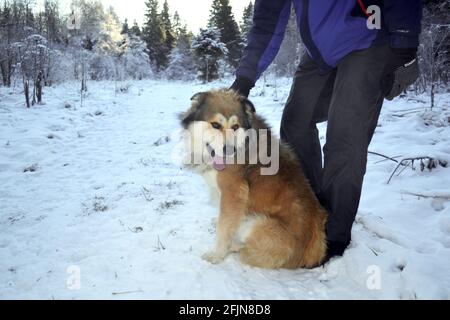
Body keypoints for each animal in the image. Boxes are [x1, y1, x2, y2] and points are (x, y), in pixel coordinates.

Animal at [179, 89, 326, 268]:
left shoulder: (233, 192)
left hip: (257, 223)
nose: (229, 150)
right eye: (215, 125)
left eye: (235, 127)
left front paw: (217, 254)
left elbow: (224, 227)